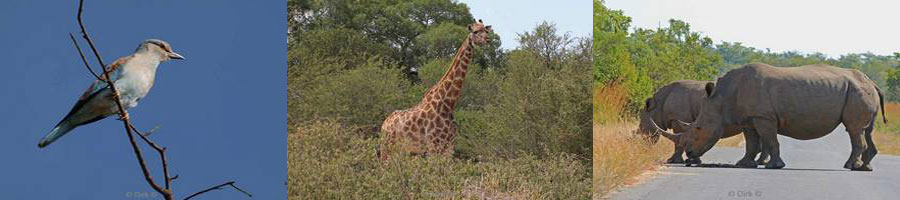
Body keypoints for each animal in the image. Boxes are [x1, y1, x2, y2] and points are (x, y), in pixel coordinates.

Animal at [378, 19, 496, 159]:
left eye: (486, 30)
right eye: (476, 31)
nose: (488, 39)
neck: (448, 103)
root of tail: (384, 124)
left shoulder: (449, 147)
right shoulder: (433, 145)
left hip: (400, 150)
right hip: (387, 147)